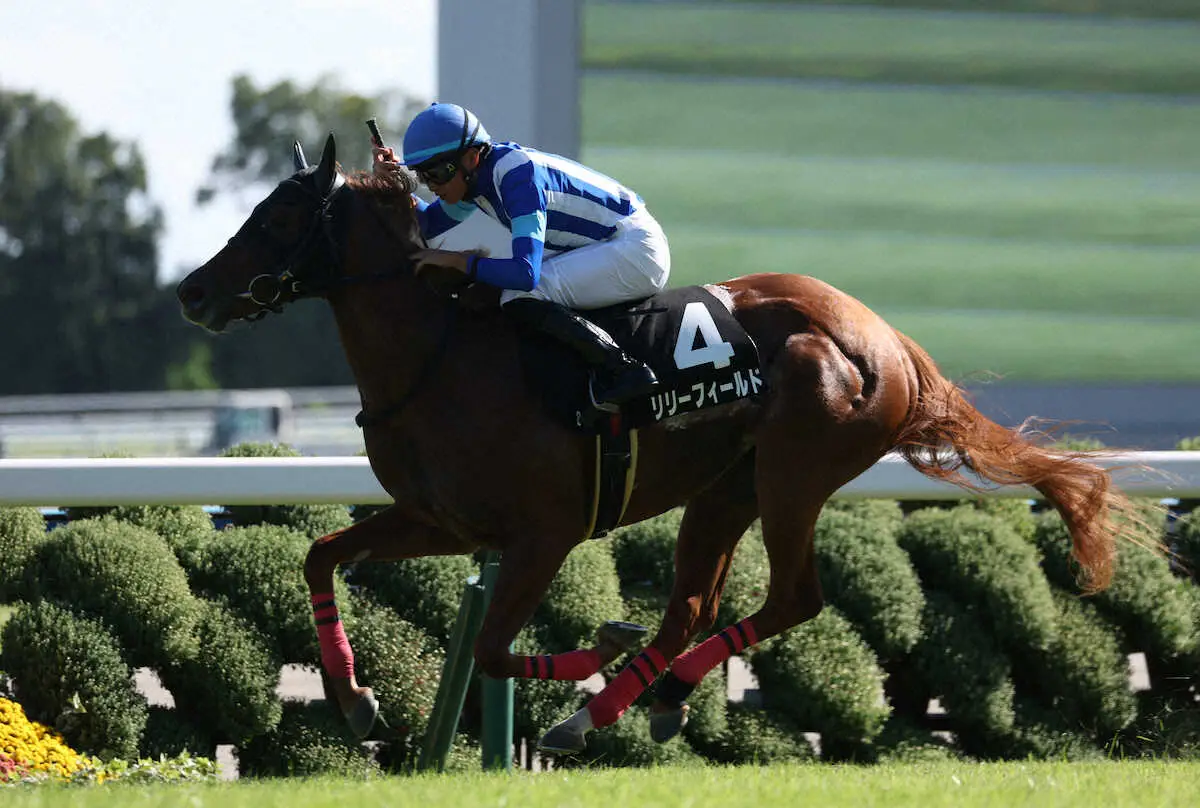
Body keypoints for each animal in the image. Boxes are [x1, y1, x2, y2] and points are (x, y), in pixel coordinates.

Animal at [175, 133, 1152, 758]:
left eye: (277, 218)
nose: (192, 292)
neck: (438, 355)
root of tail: (881, 336)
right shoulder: (440, 520)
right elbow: (320, 555)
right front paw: (355, 701)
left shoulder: (543, 532)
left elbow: (490, 647)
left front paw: (591, 649)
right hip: (727, 487)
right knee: (692, 605)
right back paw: (632, 703)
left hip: (796, 472)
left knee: (793, 597)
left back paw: (634, 695)